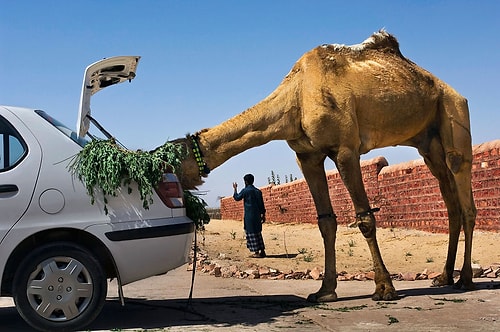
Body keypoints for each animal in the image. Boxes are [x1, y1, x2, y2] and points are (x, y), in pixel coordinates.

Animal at [175, 29, 476, 302]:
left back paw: (465, 279)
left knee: (464, 192)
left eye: (171, 161)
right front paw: (324, 291)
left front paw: (384, 289)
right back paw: (444, 277)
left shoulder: (345, 150)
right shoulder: (307, 156)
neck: (296, 96)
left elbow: (365, 218)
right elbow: (326, 222)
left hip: (453, 113)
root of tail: (453, 91)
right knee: (450, 200)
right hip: (428, 144)